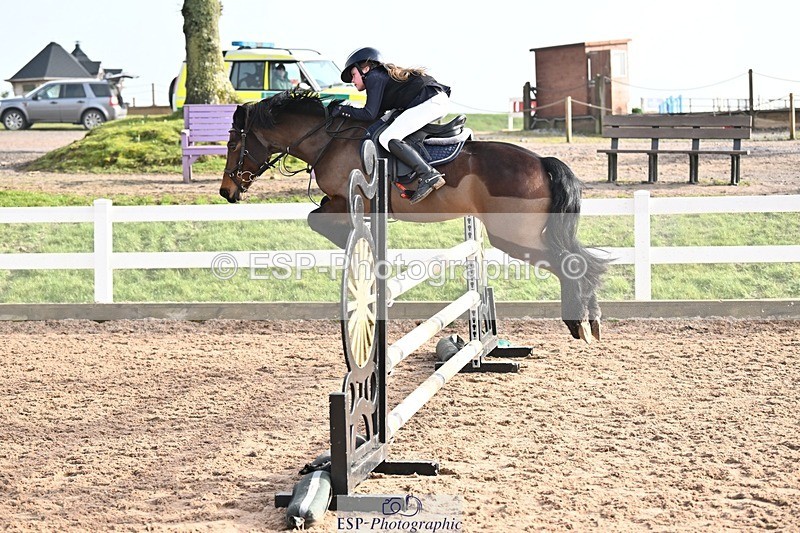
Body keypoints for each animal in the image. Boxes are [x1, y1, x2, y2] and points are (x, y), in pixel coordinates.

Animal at [218, 90, 607, 342]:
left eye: (233, 144)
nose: (226, 192)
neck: (328, 141)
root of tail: (542, 161)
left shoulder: (350, 200)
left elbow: (324, 222)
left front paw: (369, 262)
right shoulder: (338, 201)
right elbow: (321, 217)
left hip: (513, 237)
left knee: (570, 263)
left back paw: (578, 324)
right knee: (582, 260)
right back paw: (592, 320)